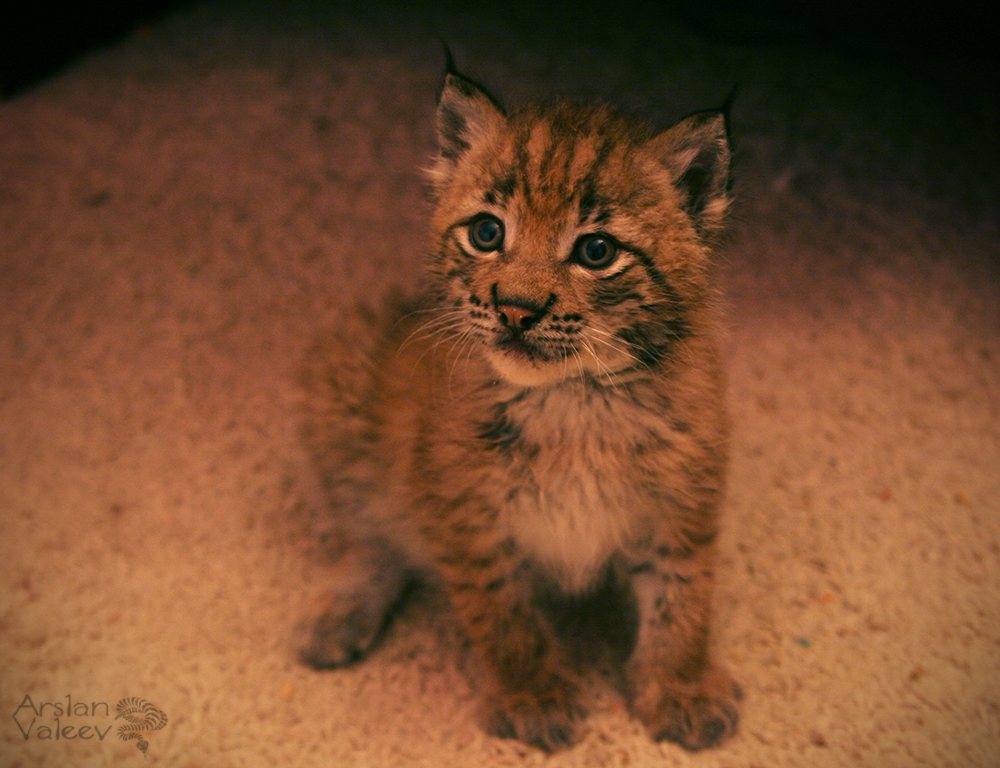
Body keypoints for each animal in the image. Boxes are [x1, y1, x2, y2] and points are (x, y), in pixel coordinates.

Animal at [300, 64, 740, 752]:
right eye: (487, 233)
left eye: (596, 251)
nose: (515, 309)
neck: (576, 399)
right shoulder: (466, 514)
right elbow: (503, 614)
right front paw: (533, 697)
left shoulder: (683, 499)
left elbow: (684, 599)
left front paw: (680, 688)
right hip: (340, 380)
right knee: (372, 530)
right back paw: (339, 613)